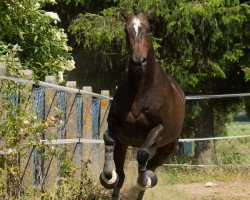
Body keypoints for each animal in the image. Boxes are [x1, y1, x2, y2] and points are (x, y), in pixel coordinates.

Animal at [99, 9, 186, 200]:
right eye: (126, 30)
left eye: (148, 29)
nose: (138, 61)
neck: (141, 91)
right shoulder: (115, 122)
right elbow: (108, 138)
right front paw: (107, 176)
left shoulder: (158, 128)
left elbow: (142, 153)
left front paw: (144, 179)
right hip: (124, 144)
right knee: (122, 175)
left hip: (166, 149)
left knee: (150, 167)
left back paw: (147, 179)